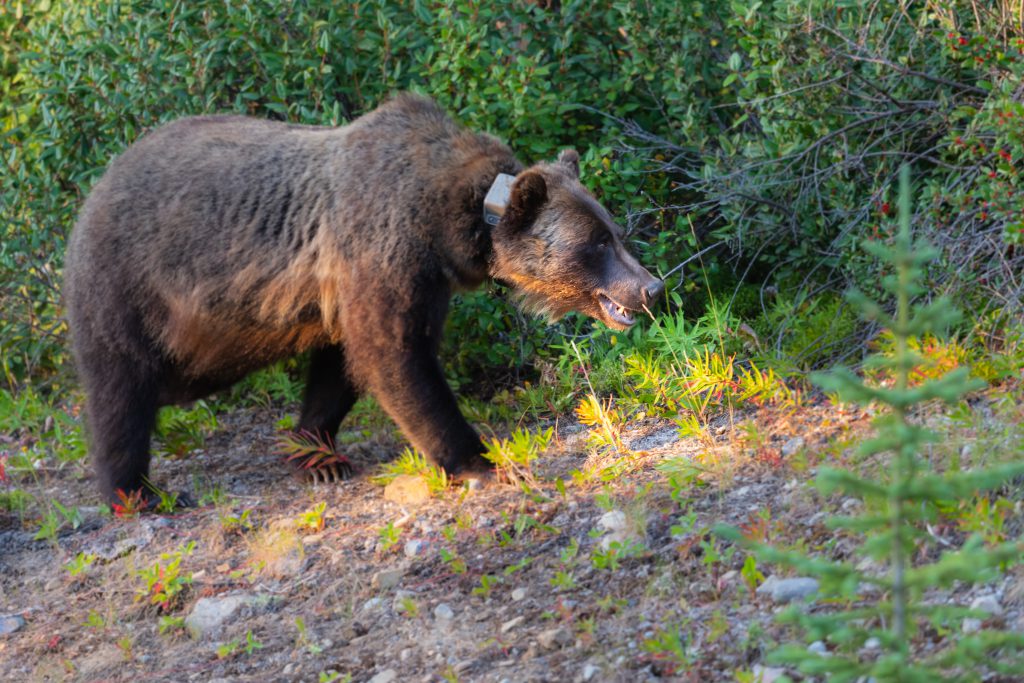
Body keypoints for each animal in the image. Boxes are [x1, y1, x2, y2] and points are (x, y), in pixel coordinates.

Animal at [68, 93, 667, 505]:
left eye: (615, 231)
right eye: (596, 243)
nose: (651, 287)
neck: (448, 220)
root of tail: (97, 183)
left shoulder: (393, 283)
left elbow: (343, 362)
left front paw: (317, 453)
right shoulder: (383, 247)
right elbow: (395, 356)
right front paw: (478, 461)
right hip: (128, 284)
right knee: (120, 391)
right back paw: (138, 492)